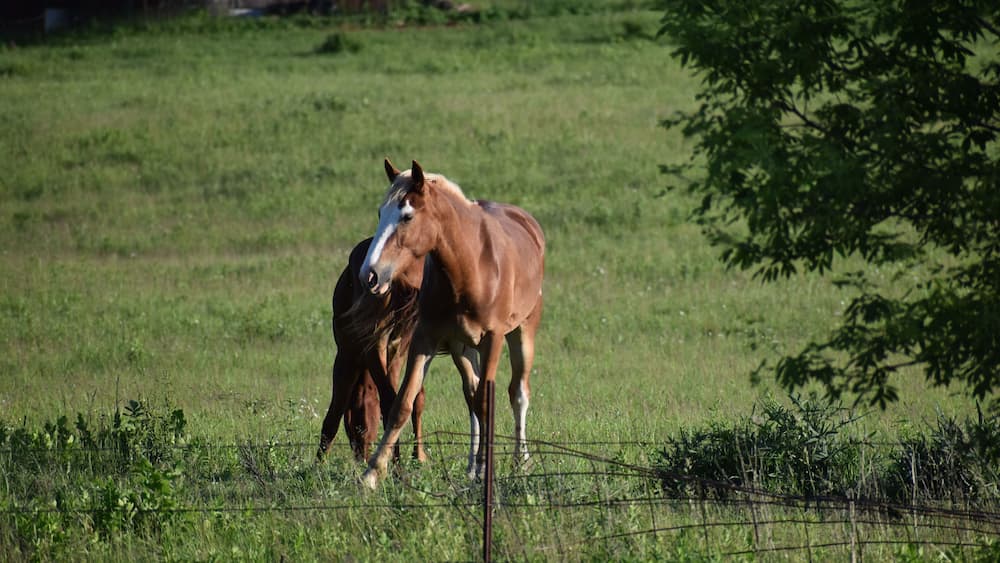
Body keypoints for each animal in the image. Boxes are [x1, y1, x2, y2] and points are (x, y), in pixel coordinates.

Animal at [317, 237, 428, 463]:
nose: (361, 456)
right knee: (403, 400)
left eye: (355, 424)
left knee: (389, 401)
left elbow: (333, 414)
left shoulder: (347, 357)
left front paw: (317, 465)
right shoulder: (395, 354)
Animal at [358, 159, 545, 487]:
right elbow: (403, 403)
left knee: (518, 393)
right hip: (463, 348)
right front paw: (371, 473)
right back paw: (473, 466)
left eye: (407, 216)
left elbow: (488, 401)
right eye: (381, 213)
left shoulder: (493, 339)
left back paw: (519, 461)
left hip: (522, 333)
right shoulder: (425, 339)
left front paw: (487, 467)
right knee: (471, 396)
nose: (369, 275)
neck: (471, 266)